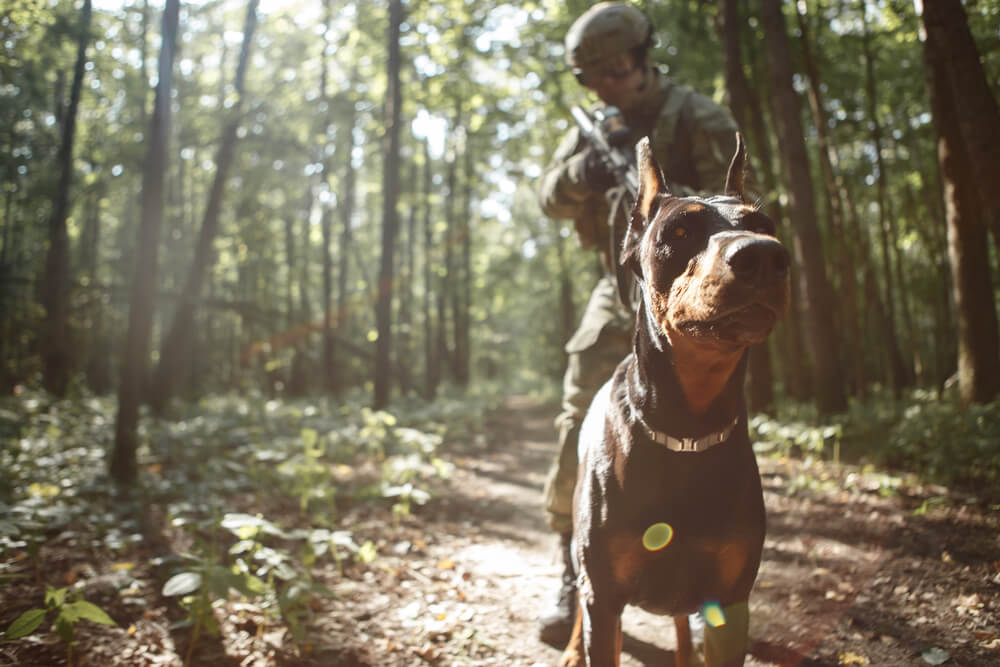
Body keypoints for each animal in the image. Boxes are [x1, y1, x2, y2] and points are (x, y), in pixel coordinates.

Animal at [564, 136, 788, 667]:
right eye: (680, 231)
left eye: (765, 227)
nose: (765, 256)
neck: (687, 426)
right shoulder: (604, 598)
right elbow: (595, 616)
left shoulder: (732, 601)